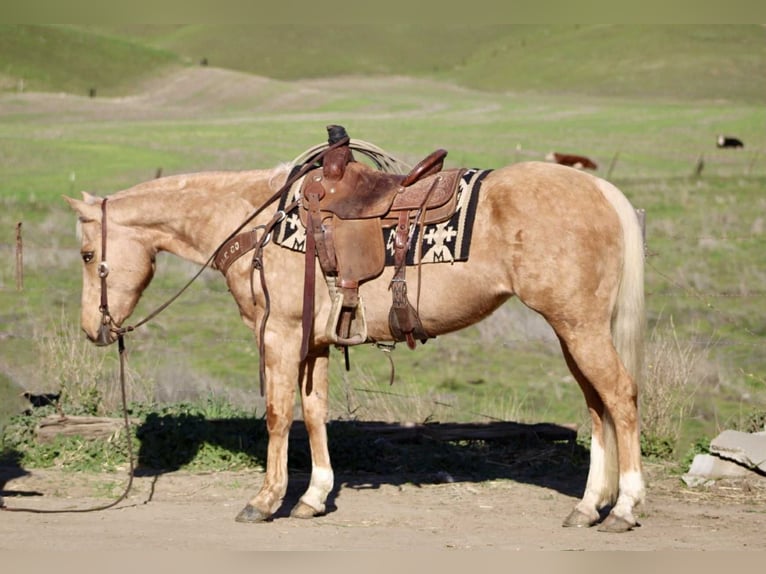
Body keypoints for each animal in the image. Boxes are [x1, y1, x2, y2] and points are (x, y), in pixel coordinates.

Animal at [65, 143, 646, 533]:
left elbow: (278, 415)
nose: (94, 329)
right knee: (596, 406)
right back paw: (587, 506)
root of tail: (601, 191)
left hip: (579, 326)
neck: (255, 222)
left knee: (620, 397)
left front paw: (265, 500)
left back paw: (624, 506)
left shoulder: (279, 334)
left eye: (89, 255)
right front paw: (313, 497)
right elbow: (314, 410)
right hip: (573, 331)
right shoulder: (315, 341)